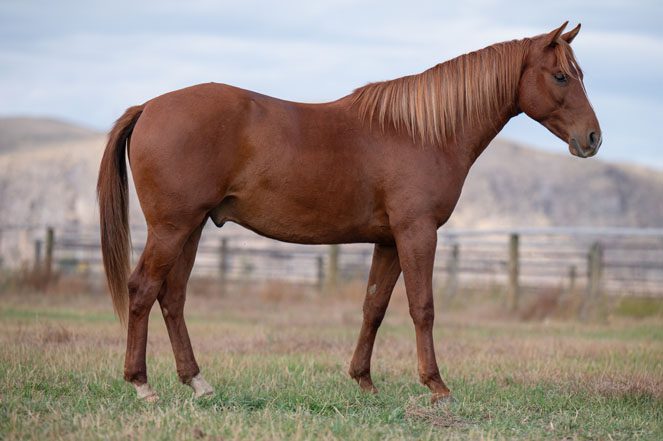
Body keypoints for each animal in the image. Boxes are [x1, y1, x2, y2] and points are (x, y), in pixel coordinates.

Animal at [97, 22, 601, 403]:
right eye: (561, 76)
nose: (593, 138)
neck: (421, 132)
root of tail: (149, 106)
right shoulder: (417, 233)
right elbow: (422, 307)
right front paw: (436, 385)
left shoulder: (389, 240)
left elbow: (373, 307)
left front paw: (364, 380)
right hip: (172, 228)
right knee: (143, 290)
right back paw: (142, 385)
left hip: (192, 228)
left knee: (173, 297)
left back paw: (197, 381)